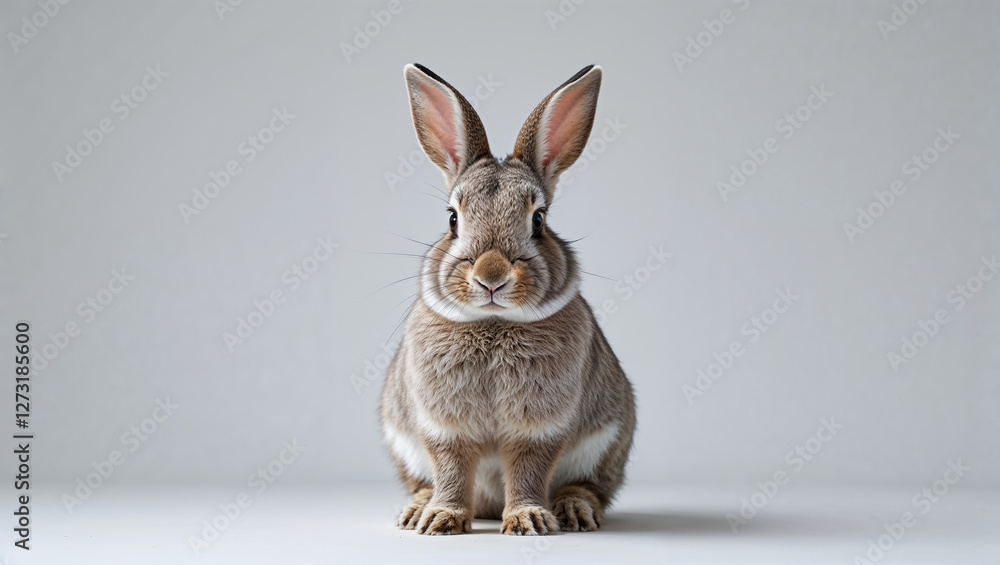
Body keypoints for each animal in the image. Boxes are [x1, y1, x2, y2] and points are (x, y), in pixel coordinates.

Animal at [379, 63, 636, 536]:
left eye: (539, 220)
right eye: (452, 219)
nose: (491, 277)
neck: (494, 323)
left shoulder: (541, 427)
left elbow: (529, 467)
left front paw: (527, 520)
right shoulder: (443, 426)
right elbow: (451, 467)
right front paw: (442, 520)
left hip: (608, 444)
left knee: (590, 487)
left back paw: (573, 510)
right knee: (423, 480)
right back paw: (416, 510)